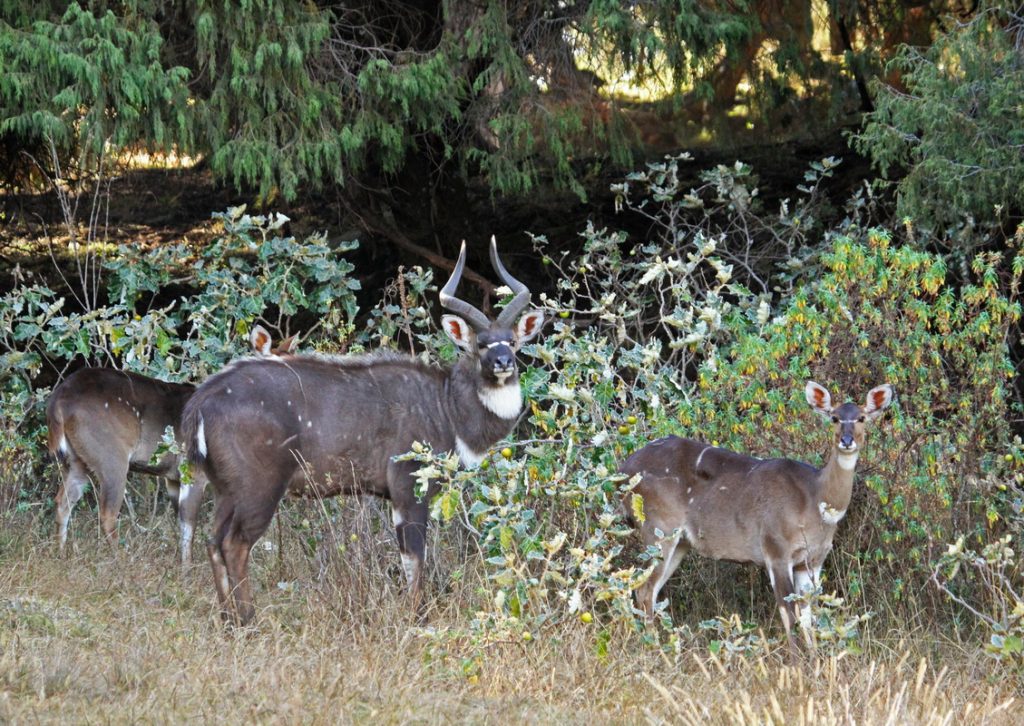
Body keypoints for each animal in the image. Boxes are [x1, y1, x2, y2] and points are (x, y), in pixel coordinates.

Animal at [48, 325, 296, 565]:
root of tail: (59, 402)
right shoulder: (193, 472)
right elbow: (190, 525)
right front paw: (188, 569)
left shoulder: (173, 477)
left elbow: (181, 524)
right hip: (110, 456)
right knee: (107, 512)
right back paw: (122, 562)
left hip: (77, 459)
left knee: (63, 502)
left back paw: (61, 555)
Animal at [182, 237, 544, 622]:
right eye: (481, 344)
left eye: (513, 341)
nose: (504, 362)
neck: (446, 406)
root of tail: (201, 402)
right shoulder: (408, 486)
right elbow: (415, 557)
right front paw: (417, 618)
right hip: (258, 488)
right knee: (234, 543)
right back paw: (248, 620)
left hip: (225, 489)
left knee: (212, 540)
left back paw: (228, 620)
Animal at [618, 382, 892, 643]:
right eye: (834, 417)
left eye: (862, 418)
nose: (847, 441)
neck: (815, 499)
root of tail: (623, 470)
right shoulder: (776, 552)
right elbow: (789, 615)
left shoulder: (812, 562)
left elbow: (808, 616)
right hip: (658, 531)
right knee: (643, 590)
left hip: (680, 543)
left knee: (648, 590)